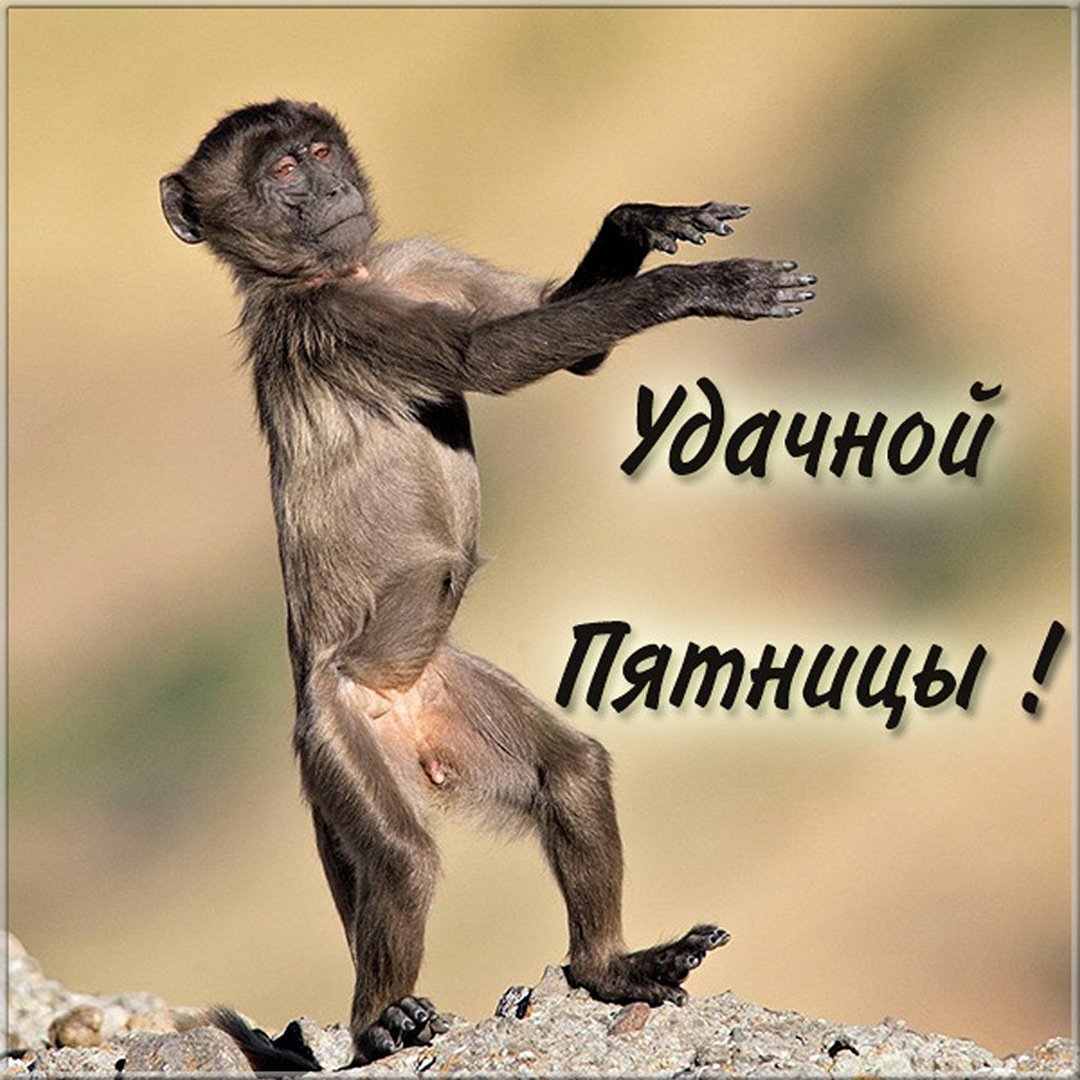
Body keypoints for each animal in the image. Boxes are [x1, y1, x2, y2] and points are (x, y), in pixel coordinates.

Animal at [159, 99, 815, 1071]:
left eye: (318, 151)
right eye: (282, 174)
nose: (332, 192)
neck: (343, 268)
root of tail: (390, 703)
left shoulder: (414, 261)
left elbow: (555, 341)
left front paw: (643, 224)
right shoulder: (333, 316)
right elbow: (484, 358)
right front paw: (703, 285)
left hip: (449, 692)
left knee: (571, 772)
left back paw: (607, 967)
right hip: (337, 728)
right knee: (401, 858)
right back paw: (376, 1022)